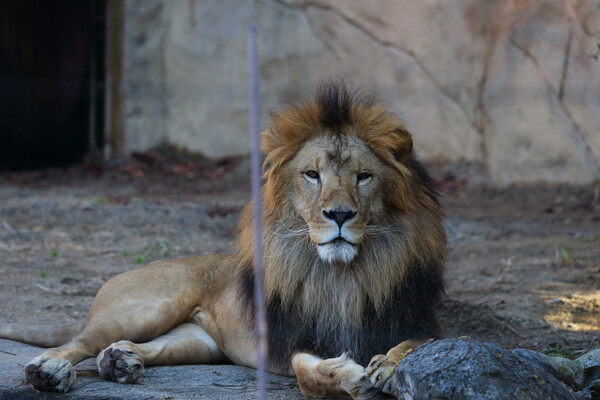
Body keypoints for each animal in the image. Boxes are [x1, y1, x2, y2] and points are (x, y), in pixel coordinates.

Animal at [1, 82, 446, 400]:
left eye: (364, 177)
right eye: (312, 175)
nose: (339, 215)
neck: (344, 275)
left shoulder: (419, 322)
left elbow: (416, 345)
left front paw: (387, 365)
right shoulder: (291, 341)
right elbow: (306, 373)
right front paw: (349, 377)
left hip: (197, 341)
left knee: (132, 346)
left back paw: (119, 361)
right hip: (147, 307)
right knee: (79, 340)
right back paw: (48, 371)